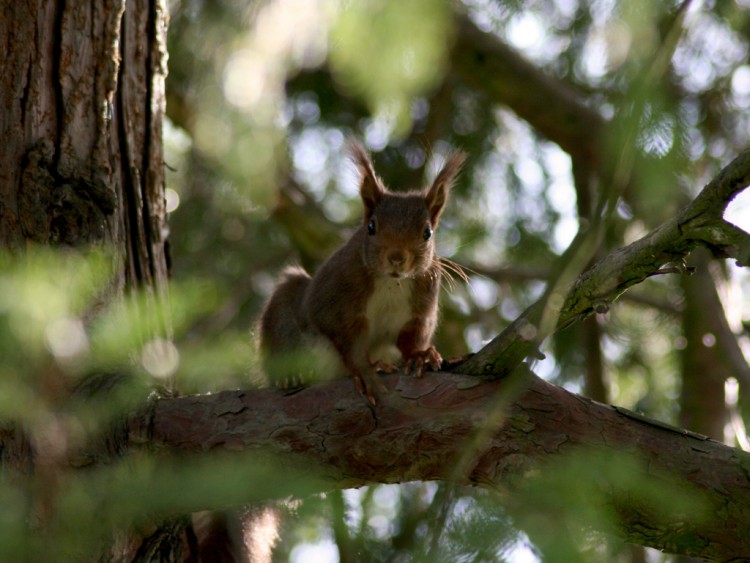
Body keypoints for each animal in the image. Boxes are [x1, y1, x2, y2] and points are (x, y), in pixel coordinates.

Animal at [262, 141, 468, 406]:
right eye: (371, 226)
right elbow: (348, 341)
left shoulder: (421, 304)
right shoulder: (338, 302)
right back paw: (290, 377)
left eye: (427, 232)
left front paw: (419, 355)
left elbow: (411, 336)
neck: (392, 283)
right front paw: (366, 370)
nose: (396, 258)